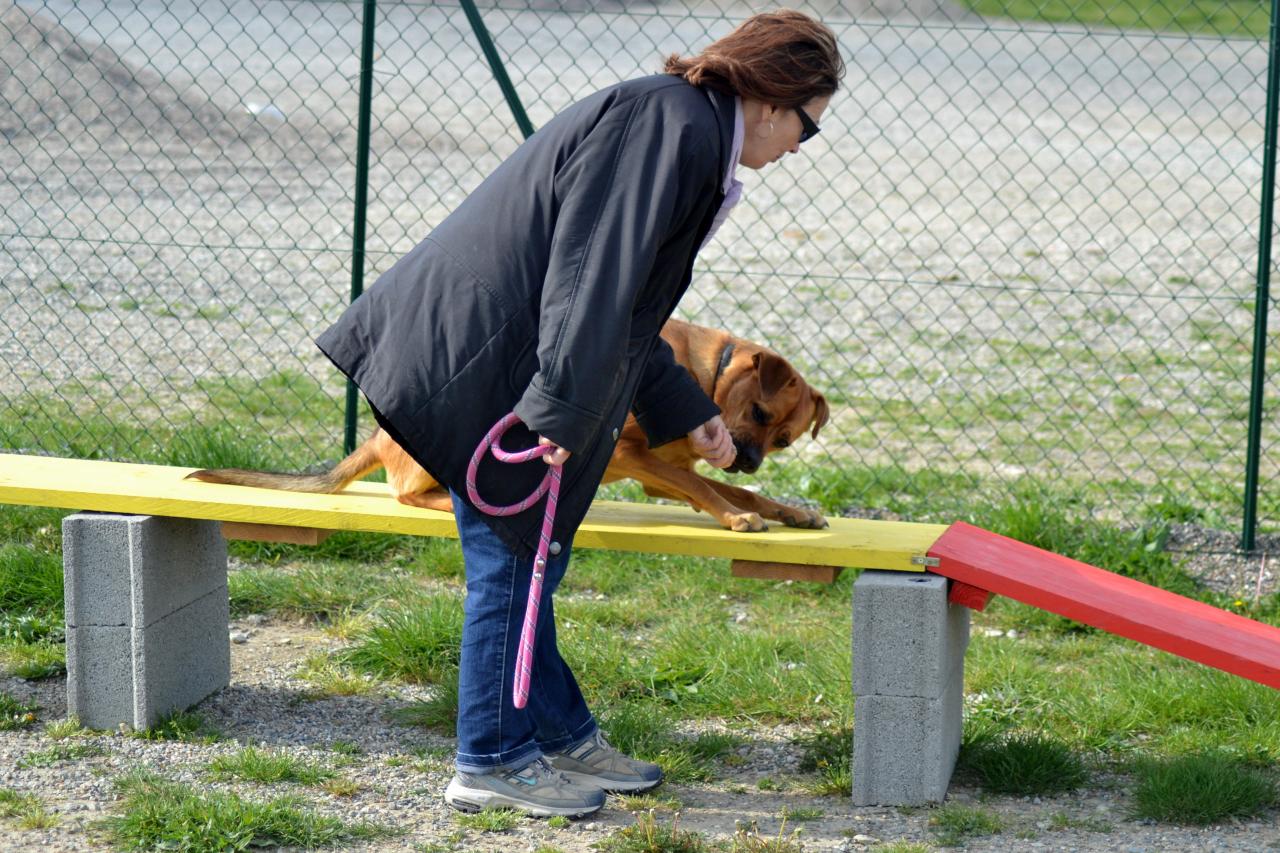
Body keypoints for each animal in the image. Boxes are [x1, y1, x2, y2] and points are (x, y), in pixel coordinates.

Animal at [186, 318, 829, 532]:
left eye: (783, 439)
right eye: (759, 413)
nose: (748, 458)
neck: (703, 375)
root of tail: (375, 438)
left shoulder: (658, 472)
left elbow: (719, 485)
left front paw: (789, 510)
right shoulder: (630, 456)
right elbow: (700, 484)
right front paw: (739, 517)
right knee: (407, 493)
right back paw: (451, 502)